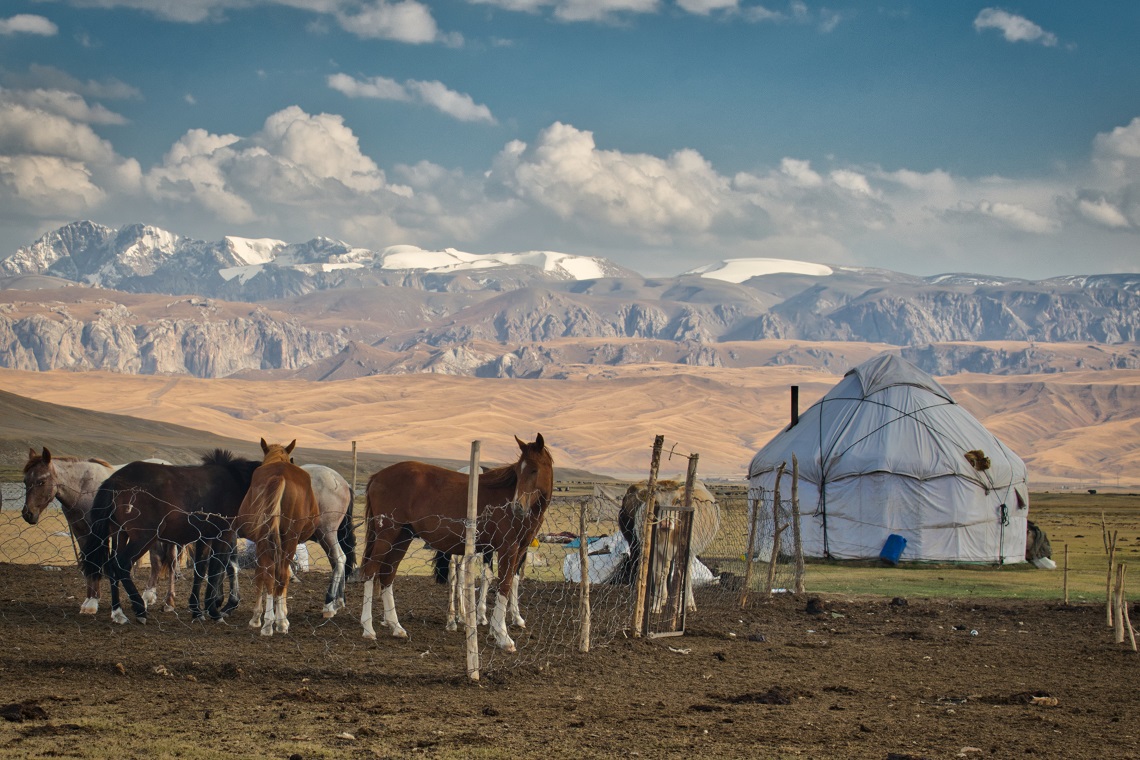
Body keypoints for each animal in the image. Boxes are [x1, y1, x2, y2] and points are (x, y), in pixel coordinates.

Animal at [20, 448, 182, 615]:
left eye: (41, 481)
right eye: (25, 481)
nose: (28, 514)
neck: (83, 489)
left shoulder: (98, 534)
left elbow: (97, 563)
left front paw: (93, 602)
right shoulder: (81, 534)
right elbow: (89, 562)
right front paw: (89, 600)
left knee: (171, 561)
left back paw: (169, 602)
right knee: (156, 559)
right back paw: (148, 596)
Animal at [82, 451, 261, 624]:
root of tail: (115, 480)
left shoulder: (205, 538)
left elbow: (201, 569)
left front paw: (197, 610)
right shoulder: (224, 535)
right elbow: (217, 569)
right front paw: (214, 610)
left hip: (119, 534)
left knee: (112, 567)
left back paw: (118, 612)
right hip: (143, 538)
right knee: (121, 564)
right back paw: (139, 609)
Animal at [231, 439, 319, 638]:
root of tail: (280, 475)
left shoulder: (259, 541)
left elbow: (261, 575)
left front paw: (260, 616)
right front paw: (280, 614)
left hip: (271, 538)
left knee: (272, 574)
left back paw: (269, 622)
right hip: (287, 539)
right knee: (279, 574)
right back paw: (276, 622)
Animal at [355, 432, 551, 656]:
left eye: (534, 469)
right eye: (519, 471)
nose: (517, 506)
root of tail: (377, 477)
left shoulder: (520, 550)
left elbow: (510, 582)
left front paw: (499, 626)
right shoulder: (507, 549)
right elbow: (504, 584)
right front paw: (502, 635)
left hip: (402, 538)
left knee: (388, 574)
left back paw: (396, 627)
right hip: (387, 535)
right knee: (371, 571)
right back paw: (368, 628)